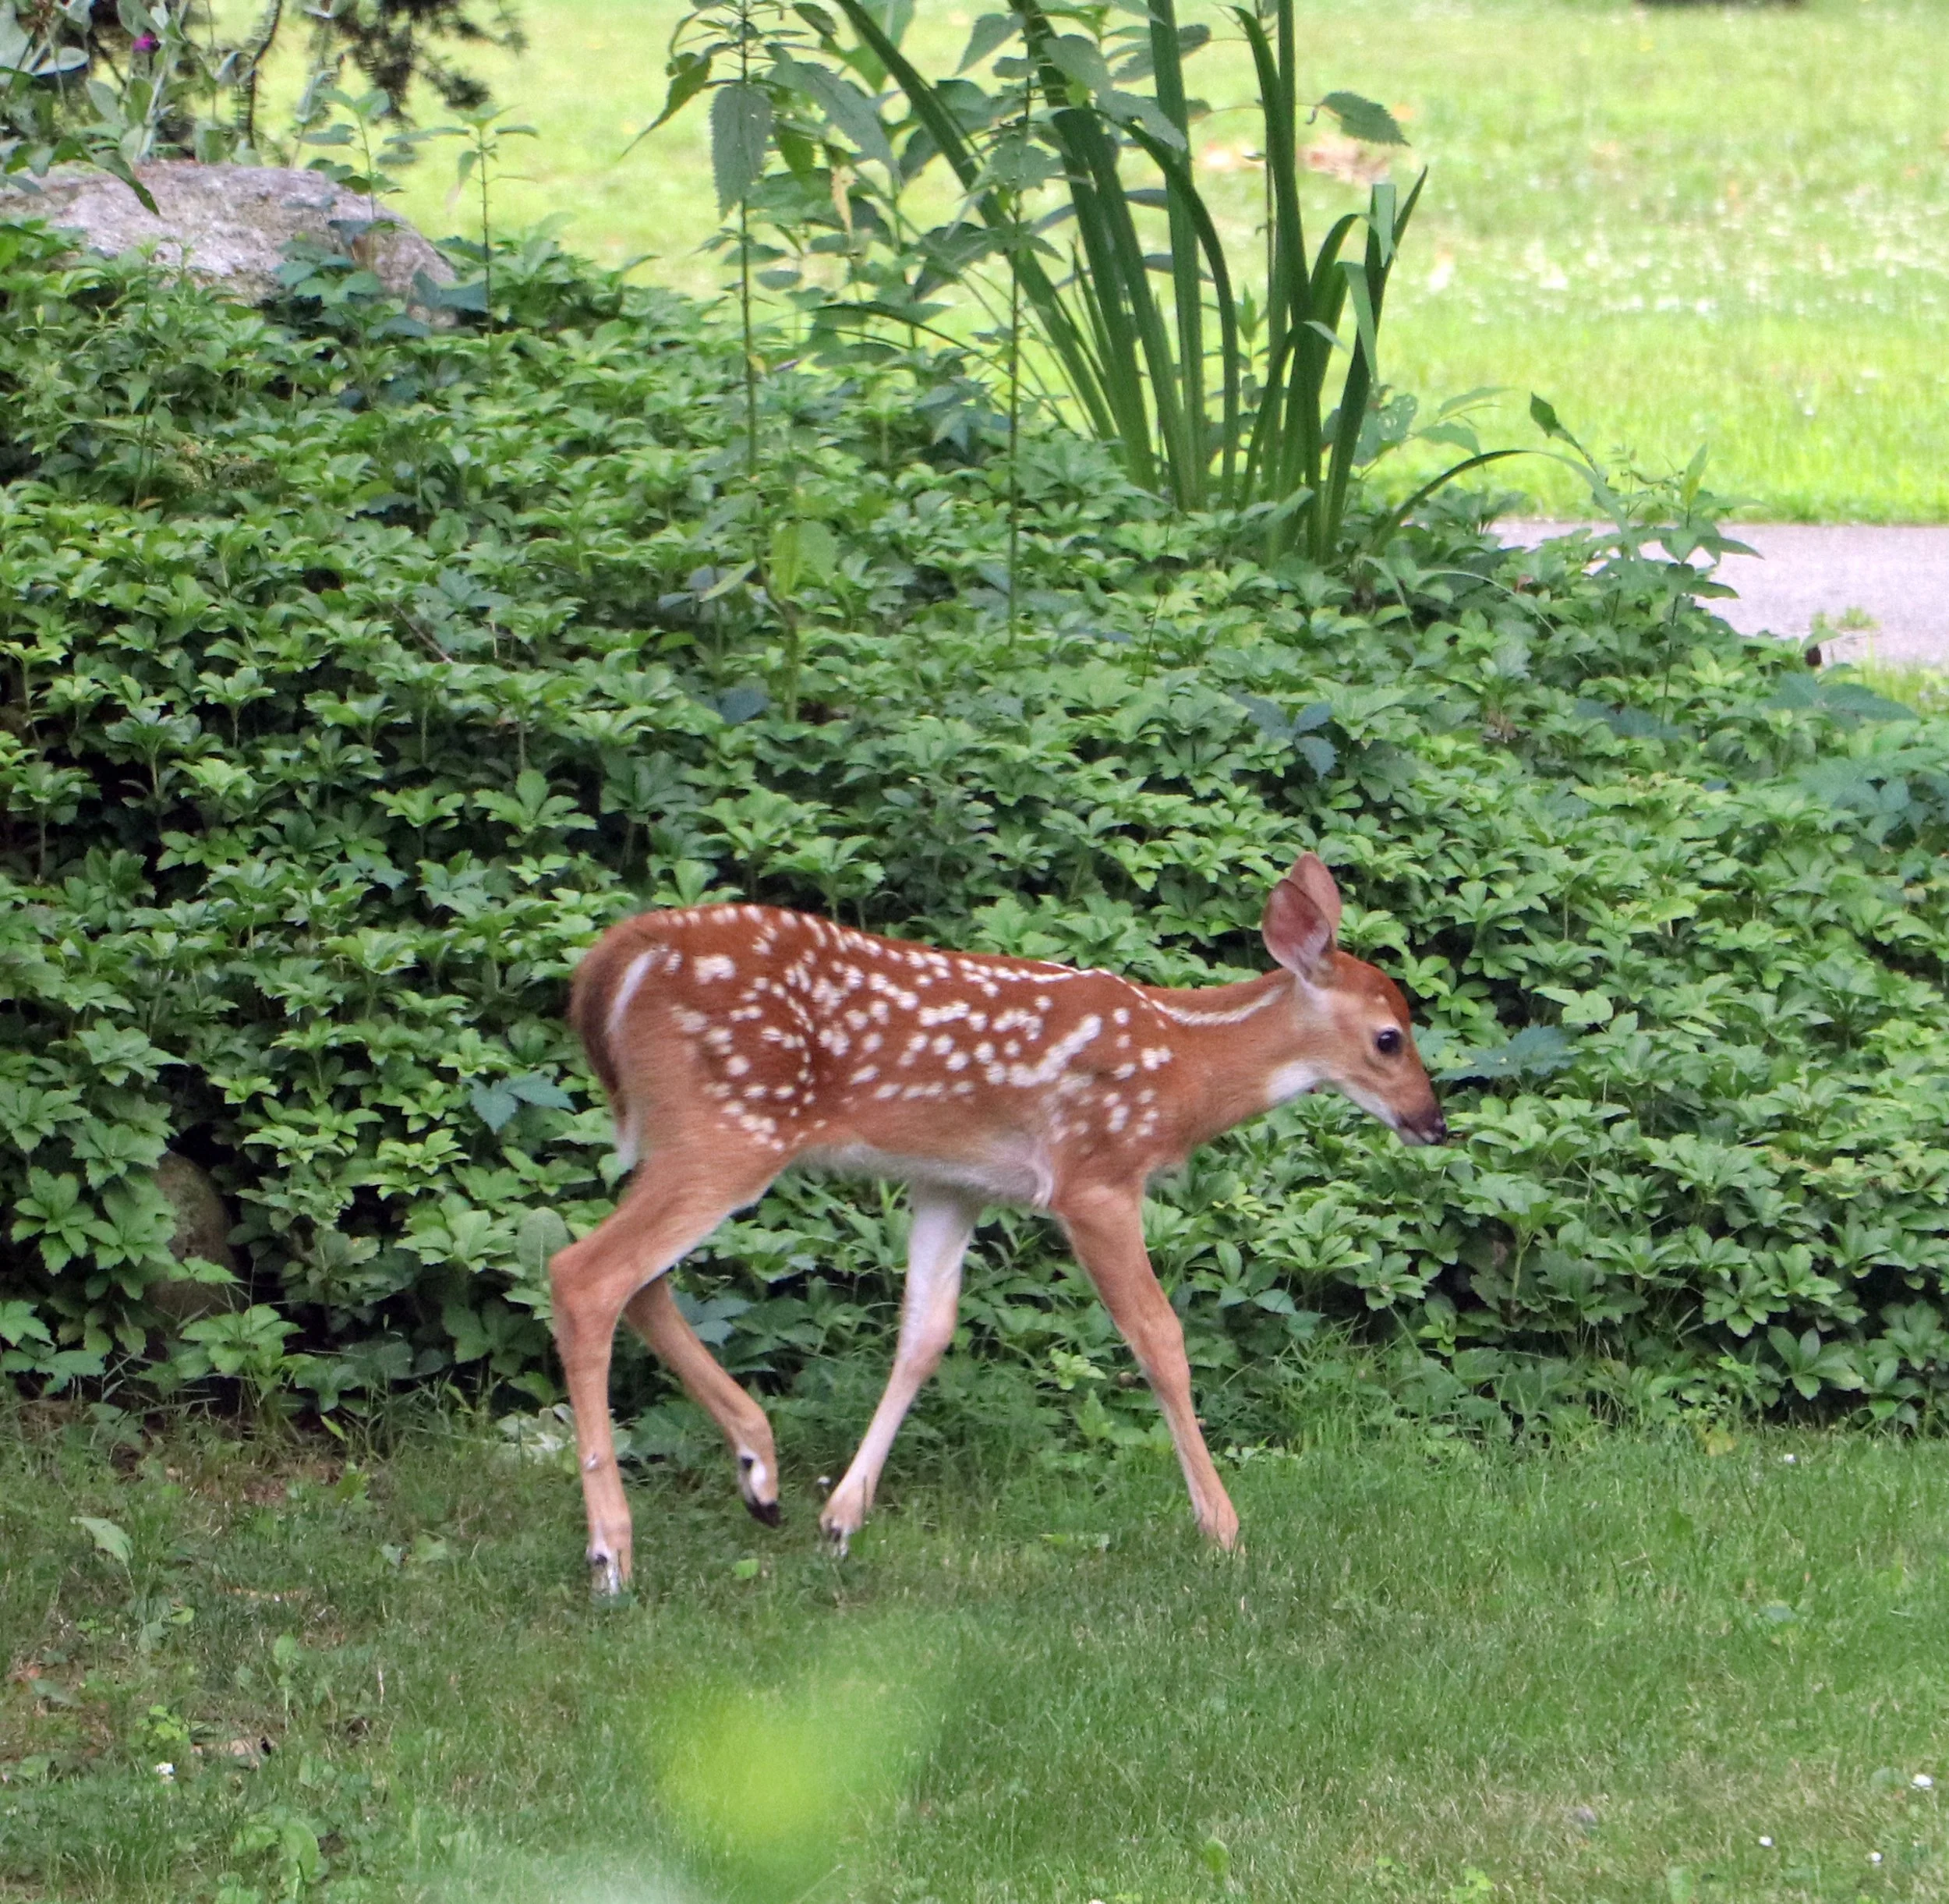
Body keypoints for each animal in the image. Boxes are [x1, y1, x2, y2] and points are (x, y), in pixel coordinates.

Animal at [549, 852, 1447, 1593]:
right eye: (1389, 1038)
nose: (1433, 1123)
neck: (1184, 1065)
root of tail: (615, 960)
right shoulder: (1095, 1177)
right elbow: (1160, 1341)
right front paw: (1223, 1531)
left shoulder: (954, 1182)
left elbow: (926, 1333)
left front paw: (841, 1519)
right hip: (730, 1127)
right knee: (585, 1273)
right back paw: (610, 1552)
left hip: (684, 1138)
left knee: (640, 1281)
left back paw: (758, 1473)